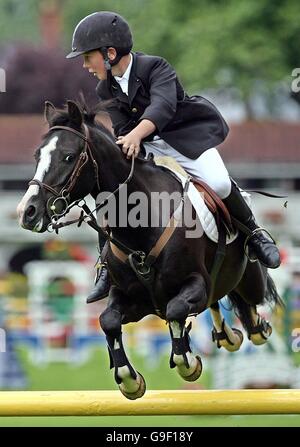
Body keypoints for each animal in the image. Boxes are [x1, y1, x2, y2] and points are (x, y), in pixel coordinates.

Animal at [17, 102, 282, 402]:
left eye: (69, 156)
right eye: (37, 155)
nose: (27, 212)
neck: (142, 225)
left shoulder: (195, 284)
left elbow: (176, 310)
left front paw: (187, 363)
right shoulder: (130, 298)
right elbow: (108, 320)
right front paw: (129, 380)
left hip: (250, 280)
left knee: (251, 307)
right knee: (218, 304)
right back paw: (228, 335)